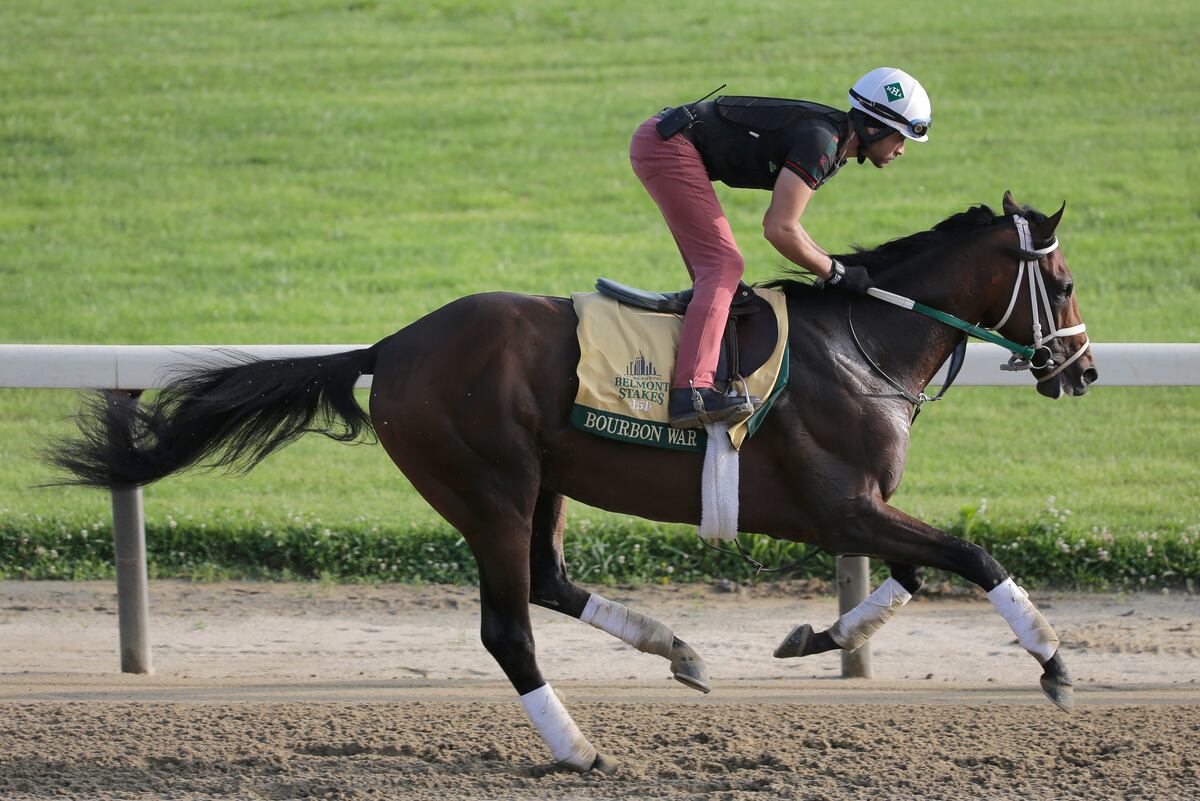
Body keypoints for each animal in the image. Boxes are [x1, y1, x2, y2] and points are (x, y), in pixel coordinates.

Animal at [52, 191, 1096, 774]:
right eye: (1066, 281)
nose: (1080, 369)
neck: (861, 339)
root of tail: (391, 345)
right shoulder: (842, 503)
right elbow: (971, 553)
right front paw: (1051, 659)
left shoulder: (854, 510)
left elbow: (917, 574)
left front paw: (814, 635)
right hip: (488, 485)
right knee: (508, 626)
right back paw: (578, 746)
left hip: (542, 478)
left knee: (550, 581)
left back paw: (679, 649)